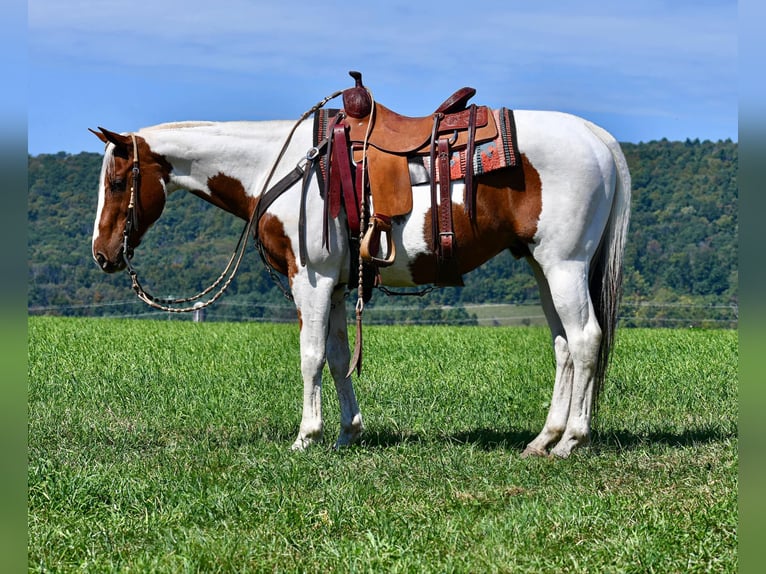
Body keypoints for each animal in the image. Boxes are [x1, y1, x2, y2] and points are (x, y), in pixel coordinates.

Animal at [91, 83, 632, 460]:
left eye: (117, 182)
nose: (102, 254)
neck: (281, 167)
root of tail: (597, 137)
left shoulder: (309, 281)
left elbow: (310, 357)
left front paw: (306, 437)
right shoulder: (332, 287)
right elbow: (336, 356)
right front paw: (346, 433)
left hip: (564, 265)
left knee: (585, 338)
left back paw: (572, 441)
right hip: (543, 267)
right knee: (564, 346)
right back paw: (544, 439)